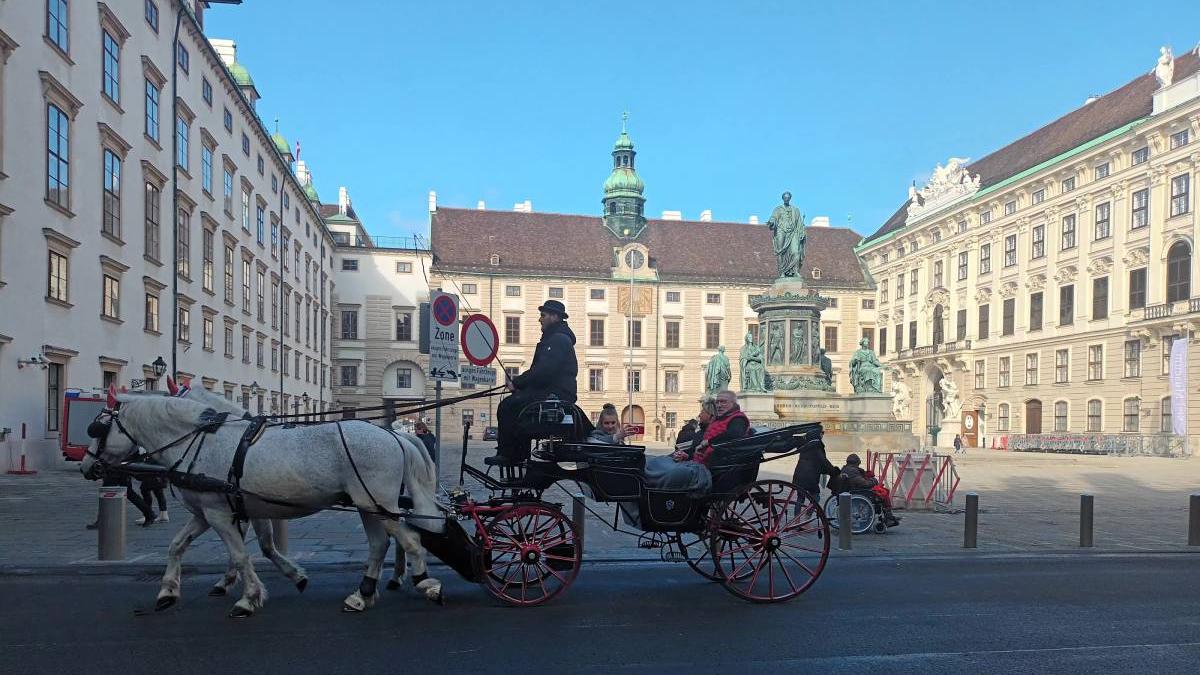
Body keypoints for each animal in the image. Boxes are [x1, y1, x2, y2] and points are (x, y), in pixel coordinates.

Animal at [83, 386, 446, 612]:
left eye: (96, 428)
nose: (88, 466)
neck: (201, 441)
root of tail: (393, 434)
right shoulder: (209, 512)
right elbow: (178, 546)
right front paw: (168, 591)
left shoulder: (220, 513)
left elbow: (241, 554)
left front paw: (249, 597)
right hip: (367, 505)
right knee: (379, 544)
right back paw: (362, 594)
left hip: (378, 504)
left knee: (410, 540)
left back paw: (425, 583)